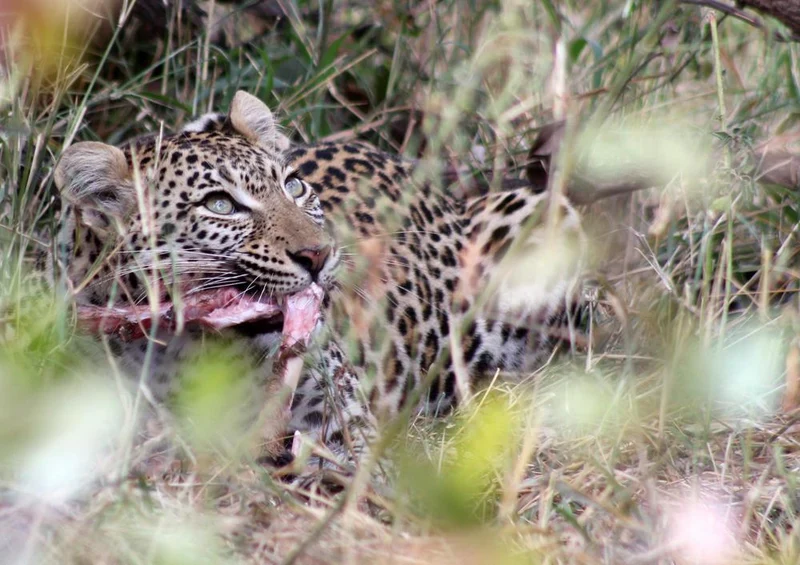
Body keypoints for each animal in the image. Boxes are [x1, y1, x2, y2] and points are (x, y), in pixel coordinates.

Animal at [52, 90, 585, 469]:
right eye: (219, 204)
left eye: (293, 186)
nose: (320, 254)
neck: (192, 352)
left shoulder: (342, 427)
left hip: (544, 217)